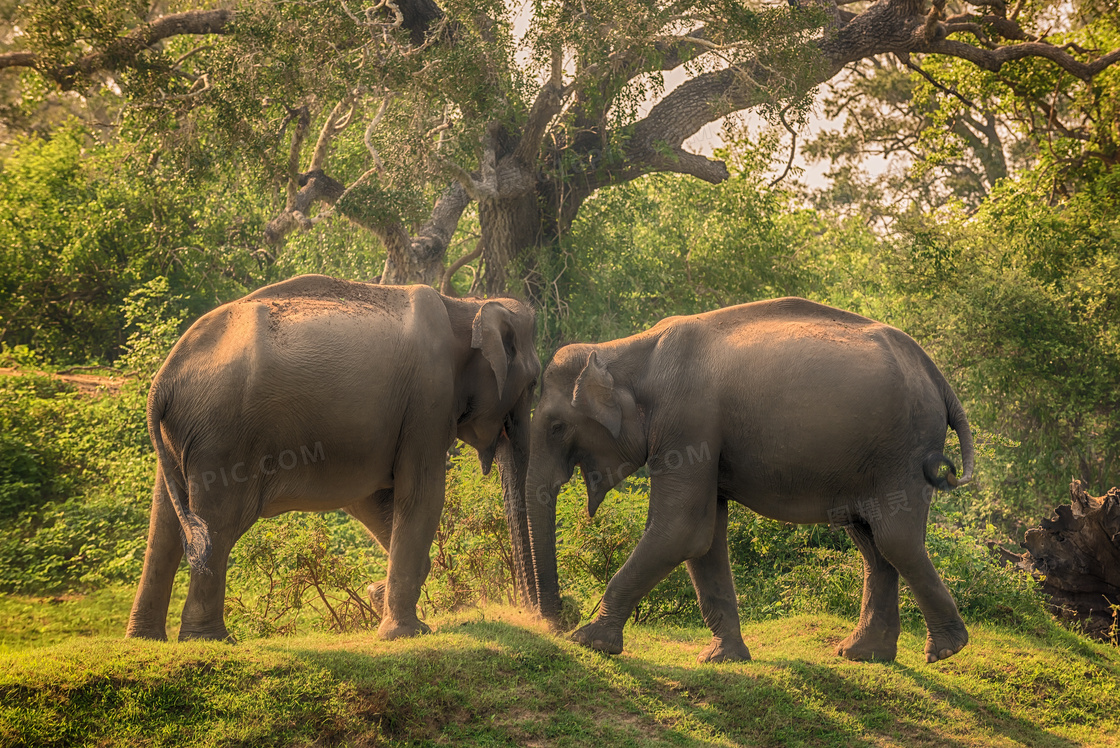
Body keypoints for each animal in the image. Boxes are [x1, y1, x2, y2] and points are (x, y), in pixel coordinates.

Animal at [124, 274, 539, 644]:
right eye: (534, 383)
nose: (535, 616)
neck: (465, 306)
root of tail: (163, 381)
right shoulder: (428, 398)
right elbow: (422, 492)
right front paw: (407, 633)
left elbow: (371, 500)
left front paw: (378, 598)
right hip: (223, 438)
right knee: (218, 525)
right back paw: (211, 641)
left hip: (182, 440)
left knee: (165, 526)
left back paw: (146, 639)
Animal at [524, 295, 972, 662]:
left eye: (557, 428)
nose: (556, 622)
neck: (625, 350)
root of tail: (938, 378)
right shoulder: (700, 436)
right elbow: (704, 536)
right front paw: (723, 657)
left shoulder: (687, 421)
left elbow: (681, 529)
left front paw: (588, 641)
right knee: (872, 541)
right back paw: (863, 654)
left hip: (904, 450)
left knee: (895, 538)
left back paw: (945, 650)